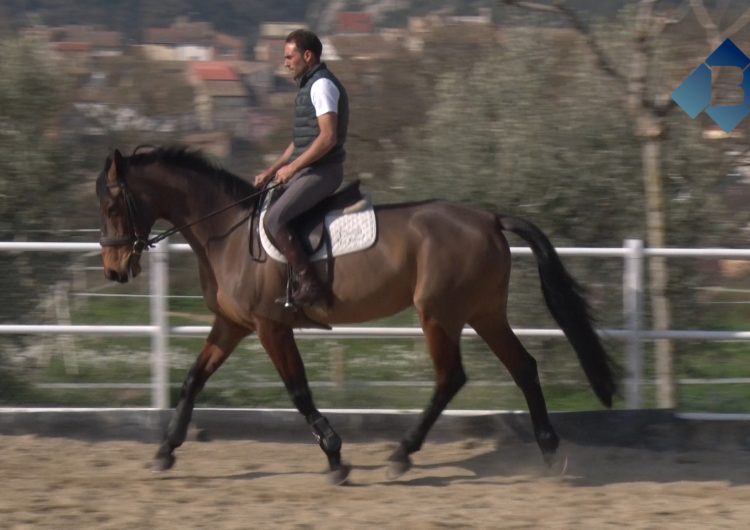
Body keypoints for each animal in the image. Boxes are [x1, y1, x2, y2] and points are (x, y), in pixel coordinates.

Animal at [95, 145, 616, 482]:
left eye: (112, 204)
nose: (114, 270)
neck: (227, 232)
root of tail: (488, 217)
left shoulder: (269, 326)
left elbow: (298, 391)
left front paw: (335, 458)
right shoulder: (233, 325)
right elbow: (191, 380)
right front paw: (165, 451)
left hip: (439, 314)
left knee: (451, 377)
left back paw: (403, 454)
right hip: (483, 312)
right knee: (523, 366)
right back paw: (549, 452)